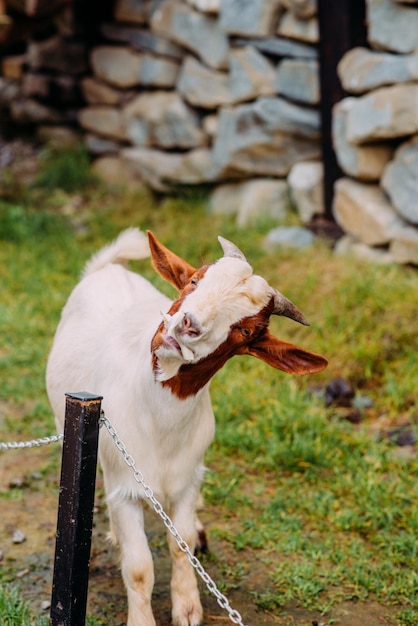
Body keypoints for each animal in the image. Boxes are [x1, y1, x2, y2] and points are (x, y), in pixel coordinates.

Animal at [45, 229, 326, 624]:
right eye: (194, 281)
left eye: (246, 330)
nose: (187, 326)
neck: (161, 419)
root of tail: (109, 267)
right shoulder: (125, 484)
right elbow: (139, 566)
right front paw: (143, 618)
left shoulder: (188, 480)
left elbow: (183, 544)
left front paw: (188, 606)